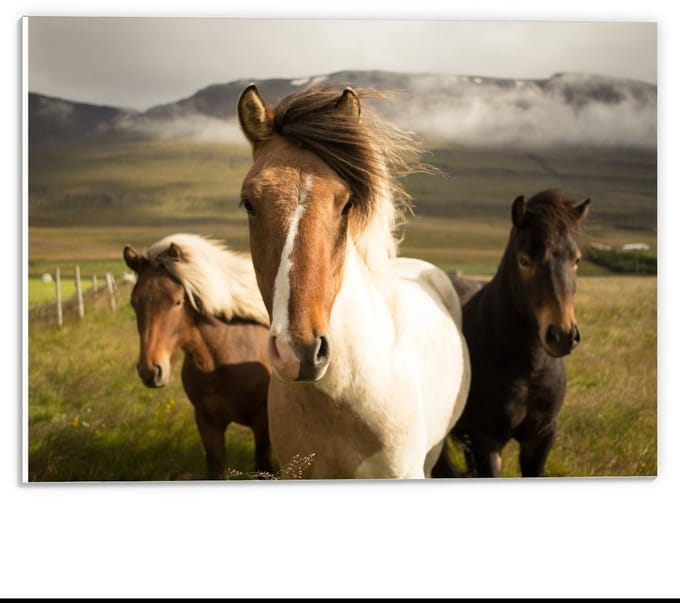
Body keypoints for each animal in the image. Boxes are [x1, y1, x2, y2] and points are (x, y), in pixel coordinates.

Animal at [123, 233, 273, 479]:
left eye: (177, 301)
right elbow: (216, 468)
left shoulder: (262, 422)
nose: (150, 371)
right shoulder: (207, 422)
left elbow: (264, 467)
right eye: (134, 302)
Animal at [433, 190, 590, 478]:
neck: (528, 369)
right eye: (524, 260)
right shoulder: (485, 440)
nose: (562, 335)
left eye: (577, 260)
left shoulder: (541, 437)